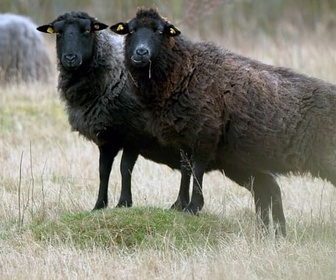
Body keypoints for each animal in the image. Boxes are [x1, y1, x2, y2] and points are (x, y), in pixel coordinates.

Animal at [111, 7, 336, 236]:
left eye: (159, 31)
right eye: (131, 30)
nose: (141, 53)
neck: (185, 70)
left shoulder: (206, 131)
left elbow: (197, 169)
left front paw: (193, 207)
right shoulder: (183, 135)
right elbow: (185, 169)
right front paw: (179, 205)